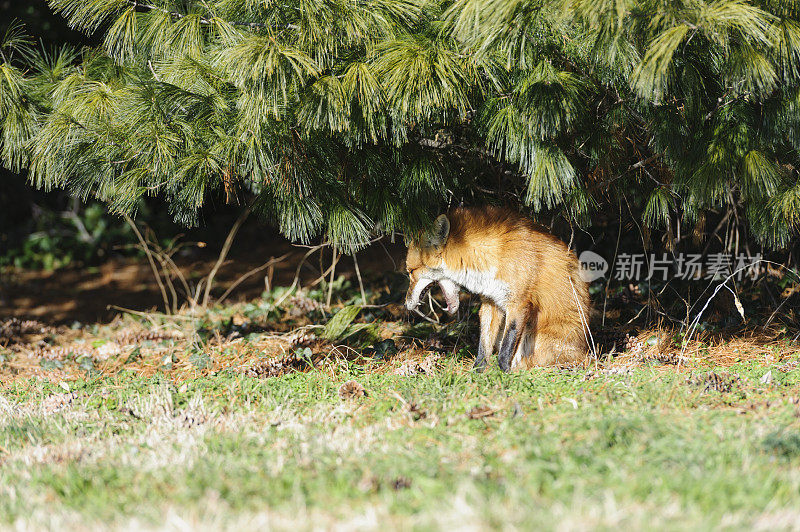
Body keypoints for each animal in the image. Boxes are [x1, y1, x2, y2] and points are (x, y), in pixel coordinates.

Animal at [406, 207, 588, 370]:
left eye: (411, 271)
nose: (406, 305)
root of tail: (586, 351)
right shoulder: (490, 301)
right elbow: (484, 346)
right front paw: (478, 374)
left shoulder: (518, 304)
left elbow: (506, 348)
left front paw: (502, 374)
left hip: (538, 337)